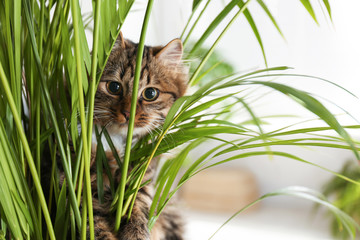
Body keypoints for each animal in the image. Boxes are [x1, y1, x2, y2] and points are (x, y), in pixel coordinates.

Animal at [89, 34, 188, 240]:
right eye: (114, 87)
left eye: (150, 93)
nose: (128, 113)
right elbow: (96, 225)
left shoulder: (143, 180)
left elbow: (138, 205)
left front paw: (136, 233)